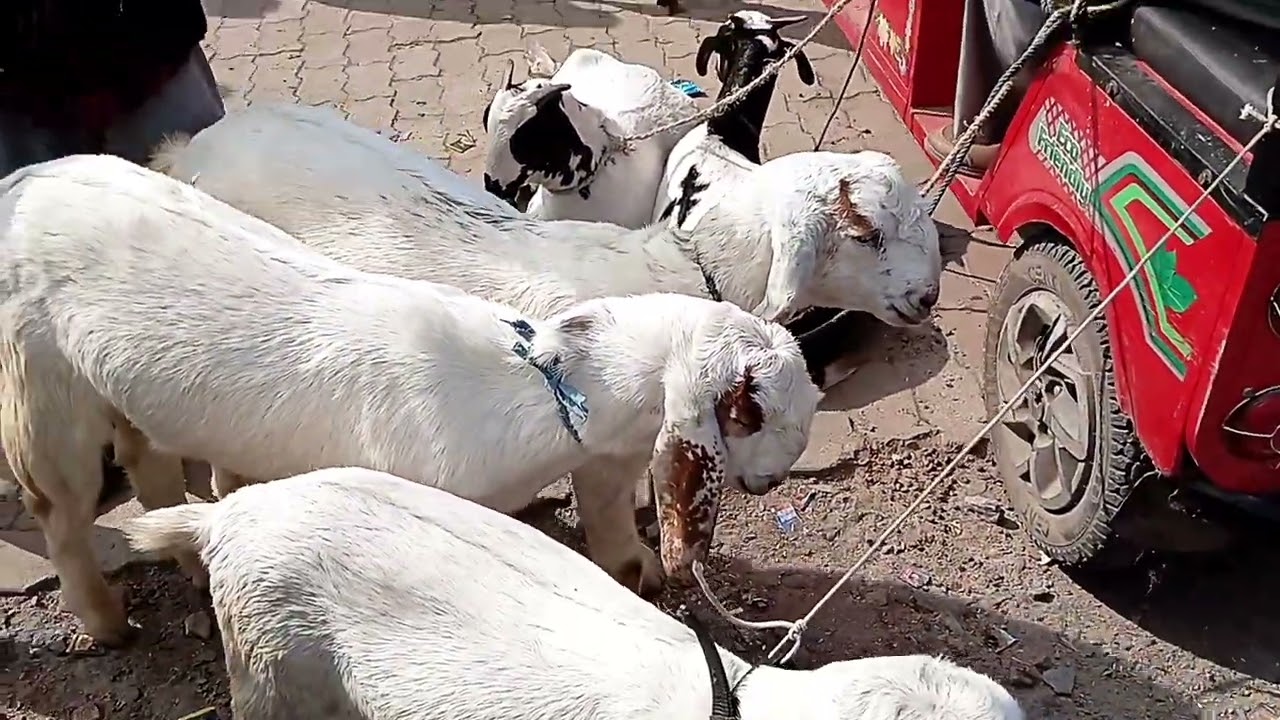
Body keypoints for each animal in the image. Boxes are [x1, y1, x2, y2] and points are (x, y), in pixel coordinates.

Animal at [0, 154, 821, 643]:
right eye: (752, 410)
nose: (773, 480)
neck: (538, 384)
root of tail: (27, 178)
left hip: (117, 388)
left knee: (146, 457)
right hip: (41, 391)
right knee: (60, 512)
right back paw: (106, 623)